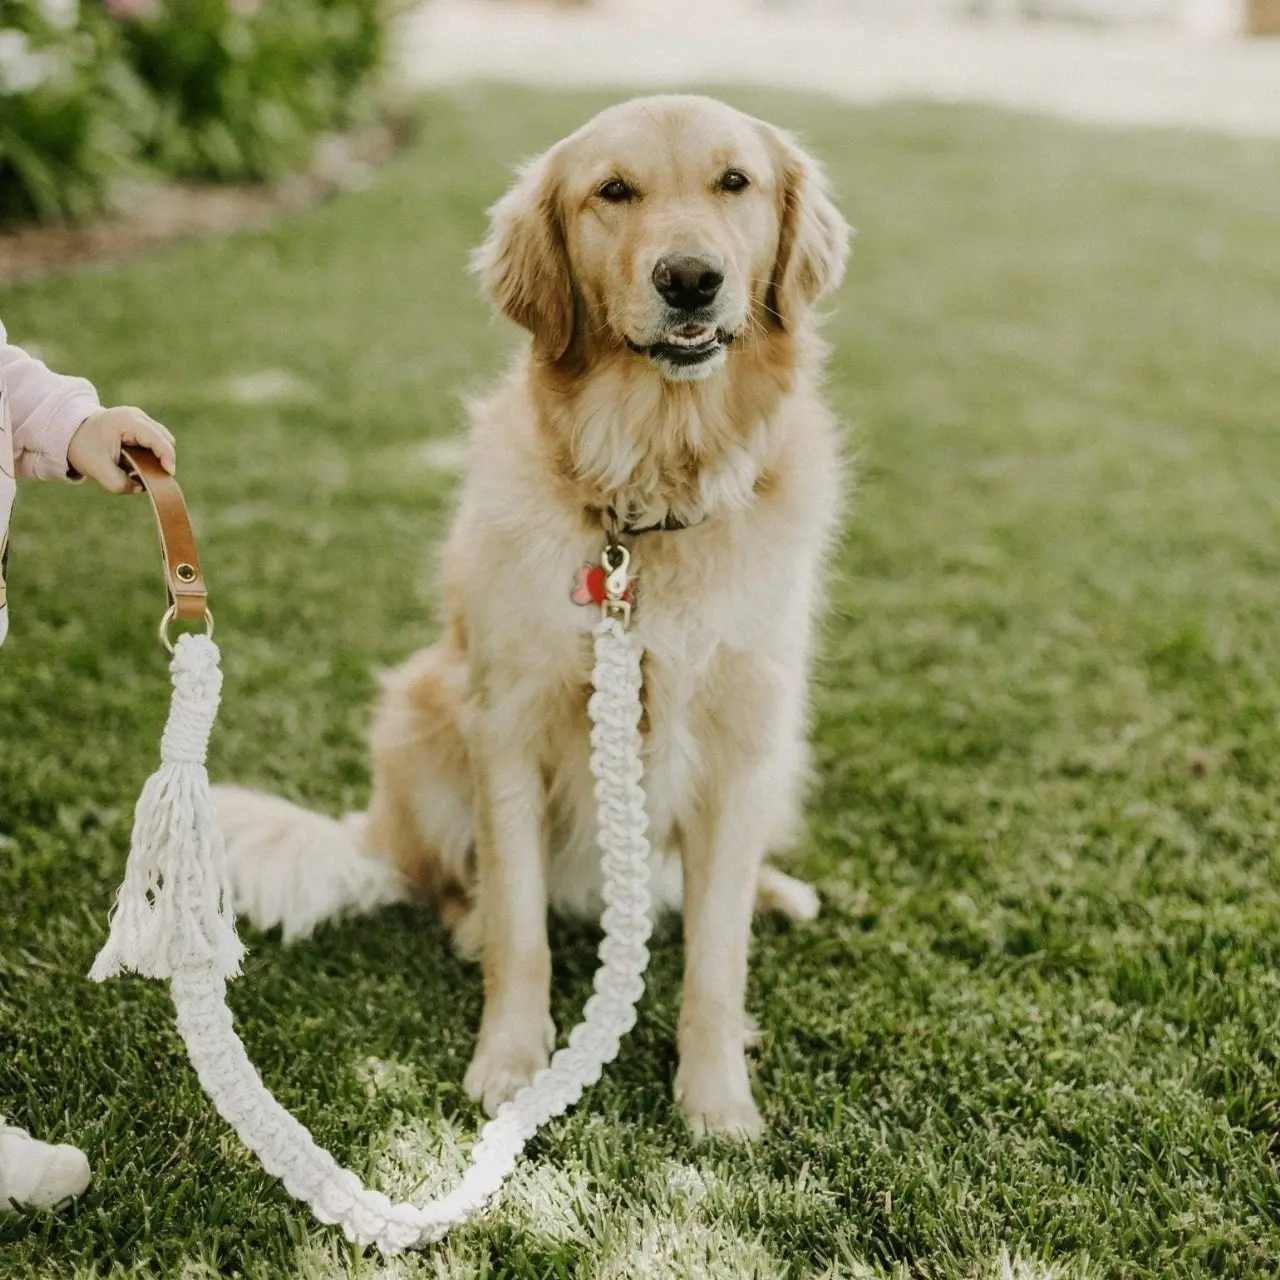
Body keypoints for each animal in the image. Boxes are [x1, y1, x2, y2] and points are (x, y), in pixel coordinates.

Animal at [212, 99, 849, 1141]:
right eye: (614, 191)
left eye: (735, 183)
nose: (690, 279)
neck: (647, 498)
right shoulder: (505, 724)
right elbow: (521, 925)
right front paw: (512, 1063)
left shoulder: (739, 741)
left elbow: (715, 958)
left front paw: (715, 1098)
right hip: (420, 713)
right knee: (449, 885)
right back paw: (467, 921)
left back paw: (776, 891)